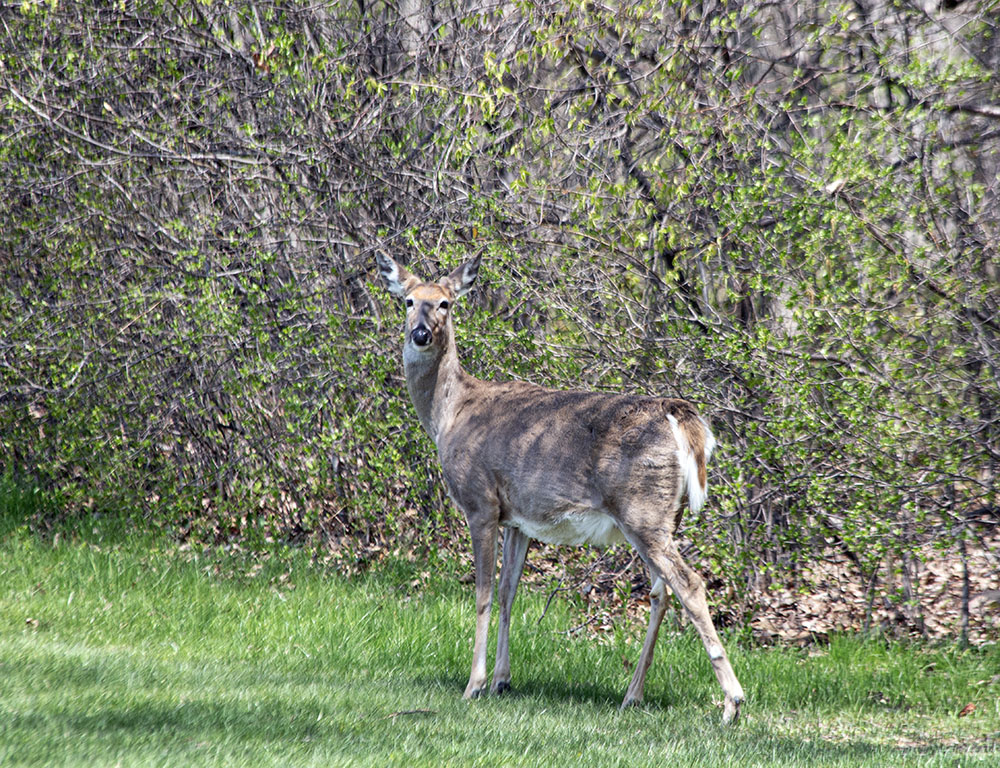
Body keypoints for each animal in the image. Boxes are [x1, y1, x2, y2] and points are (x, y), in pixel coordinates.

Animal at [378, 254, 748, 728]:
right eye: (408, 300)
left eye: (445, 303)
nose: (421, 334)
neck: (449, 414)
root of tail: (679, 415)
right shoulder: (517, 517)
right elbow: (508, 592)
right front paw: (502, 681)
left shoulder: (480, 502)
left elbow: (482, 594)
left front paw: (474, 684)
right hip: (663, 515)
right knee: (661, 592)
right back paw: (632, 695)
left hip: (643, 511)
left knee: (690, 585)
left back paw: (732, 702)